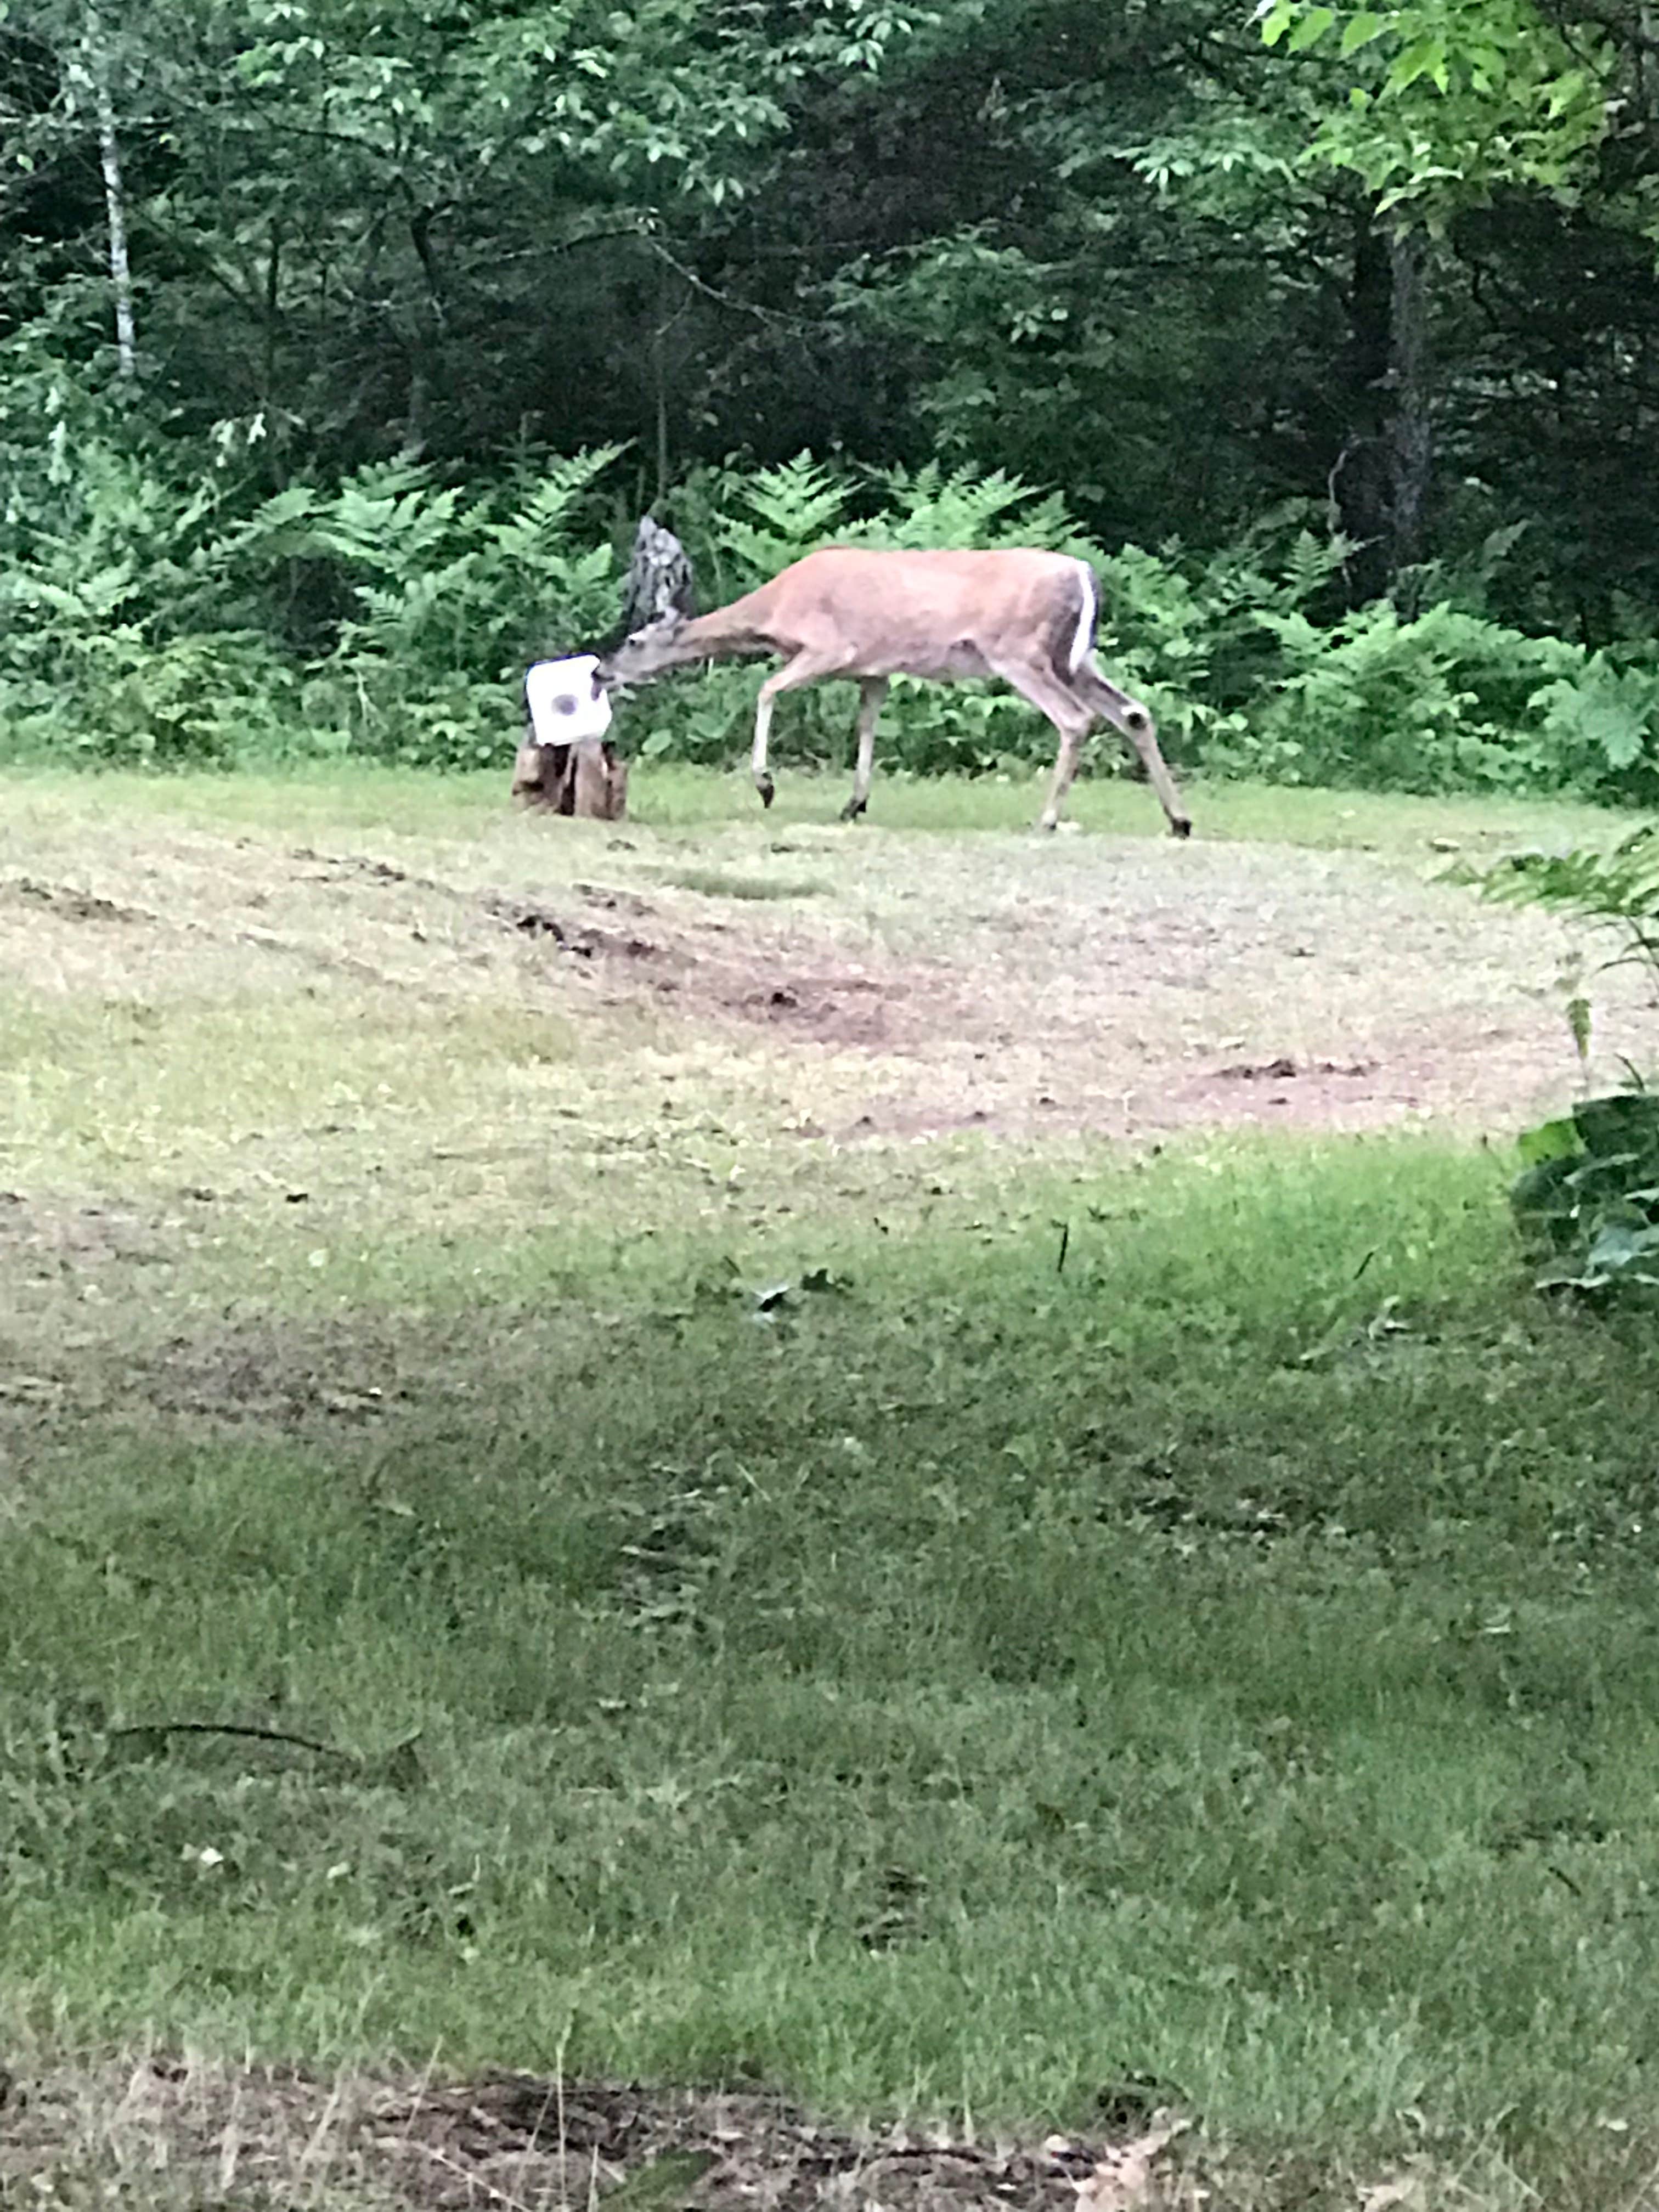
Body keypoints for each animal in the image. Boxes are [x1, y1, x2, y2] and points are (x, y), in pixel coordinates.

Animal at [597, 546, 1194, 836]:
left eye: (633, 640)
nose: (601, 672)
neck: (776, 609)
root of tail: (1085, 575)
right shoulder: (874, 670)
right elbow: (867, 727)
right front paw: (854, 803)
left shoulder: (830, 649)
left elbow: (767, 690)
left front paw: (766, 785)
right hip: (1073, 657)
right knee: (1135, 713)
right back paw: (1180, 820)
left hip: (1019, 651)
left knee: (1074, 720)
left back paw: (1046, 820)